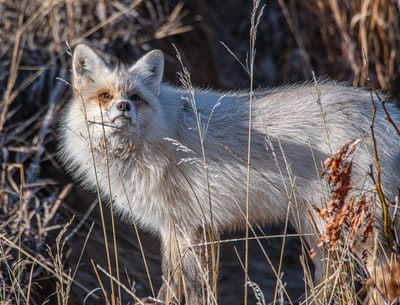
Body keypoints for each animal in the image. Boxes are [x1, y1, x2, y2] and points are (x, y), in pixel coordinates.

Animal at [58, 44, 400, 302]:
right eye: (105, 95)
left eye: (135, 97)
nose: (123, 107)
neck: (162, 133)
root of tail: (384, 108)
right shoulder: (175, 227)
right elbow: (171, 284)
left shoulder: (193, 225)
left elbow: (195, 288)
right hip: (319, 229)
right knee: (335, 282)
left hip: (354, 228)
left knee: (384, 277)